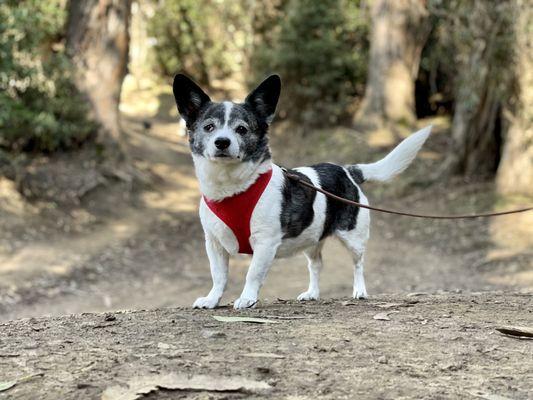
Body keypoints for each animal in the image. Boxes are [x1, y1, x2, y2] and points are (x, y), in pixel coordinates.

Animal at [172, 73, 430, 310]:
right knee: (316, 265)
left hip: (354, 237)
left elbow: (252, 273)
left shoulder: (265, 243)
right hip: (312, 239)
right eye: (209, 127)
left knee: (358, 264)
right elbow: (219, 276)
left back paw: (359, 290)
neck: (232, 188)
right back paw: (312, 293)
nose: (222, 142)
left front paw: (247, 298)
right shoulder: (214, 243)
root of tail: (348, 171)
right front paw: (212, 299)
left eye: (242, 129)